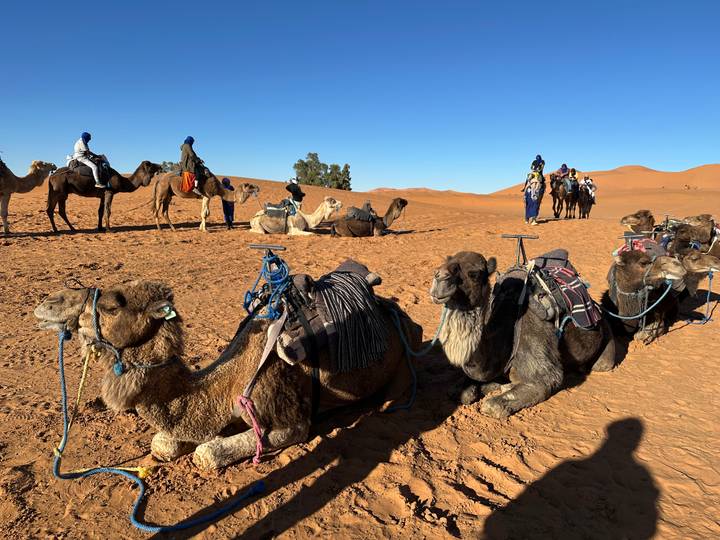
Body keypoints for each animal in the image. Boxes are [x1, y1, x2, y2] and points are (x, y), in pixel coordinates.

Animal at [34, 273, 421, 470]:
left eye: (113, 306)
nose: (46, 303)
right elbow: (164, 443)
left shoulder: (292, 419)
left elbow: (206, 453)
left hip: (403, 365)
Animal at [428, 251, 616, 418]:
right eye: (446, 262)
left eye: (473, 274)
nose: (439, 277)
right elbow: (460, 391)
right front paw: (491, 386)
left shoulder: (541, 368)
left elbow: (494, 405)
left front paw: (499, 390)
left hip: (606, 336)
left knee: (602, 364)